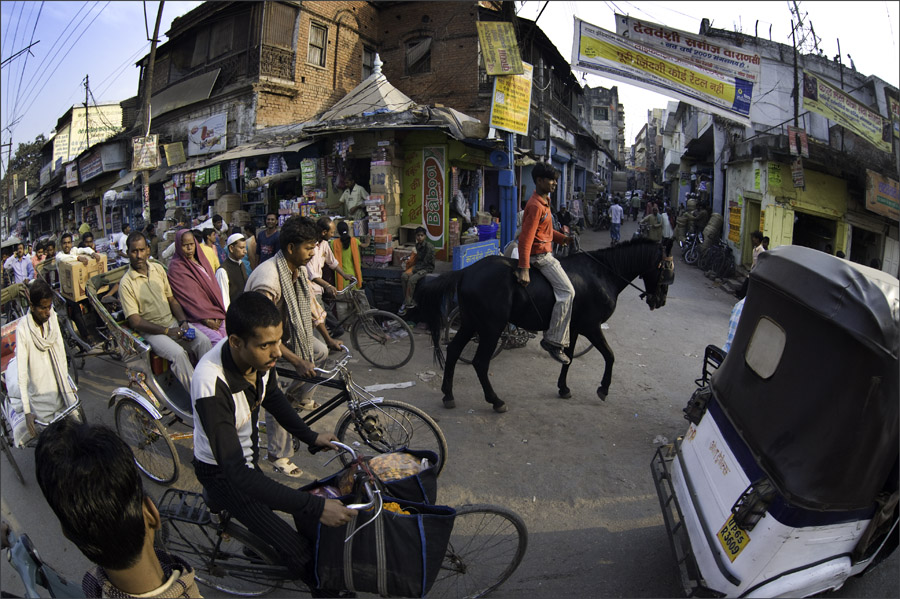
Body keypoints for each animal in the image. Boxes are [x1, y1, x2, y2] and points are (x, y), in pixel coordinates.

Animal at [418, 238, 672, 412]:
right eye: (667, 269)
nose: (659, 301)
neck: (603, 273)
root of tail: (466, 271)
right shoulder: (592, 326)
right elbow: (609, 356)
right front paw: (603, 389)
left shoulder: (575, 327)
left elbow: (568, 358)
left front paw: (564, 387)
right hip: (491, 327)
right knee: (480, 362)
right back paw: (495, 400)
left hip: (471, 322)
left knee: (453, 351)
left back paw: (448, 394)